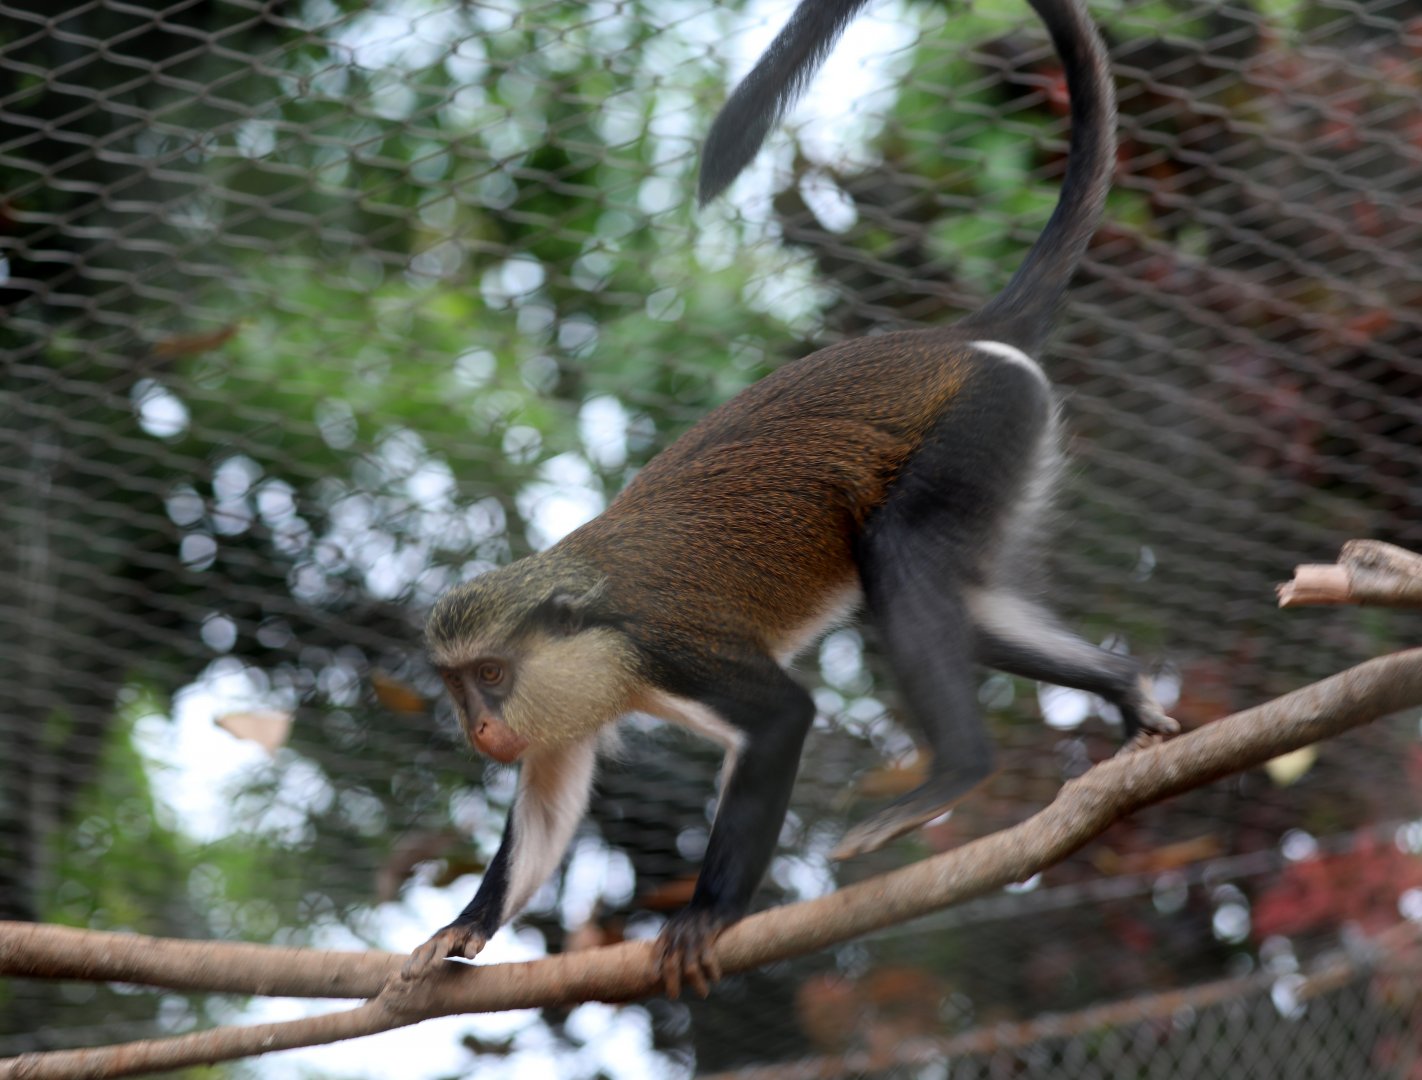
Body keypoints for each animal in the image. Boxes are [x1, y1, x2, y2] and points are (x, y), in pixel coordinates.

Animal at [404, 0, 1176, 998]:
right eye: (459, 685)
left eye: (492, 675)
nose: (482, 727)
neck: (593, 624)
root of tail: (959, 339)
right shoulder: (567, 715)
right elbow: (546, 804)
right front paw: (463, 927)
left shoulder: (673, 648)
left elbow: (782, 718)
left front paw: (709, 914)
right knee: (971, 607)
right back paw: (1122, 687)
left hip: (979, 422)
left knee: (901, 560)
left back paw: (956, 772)